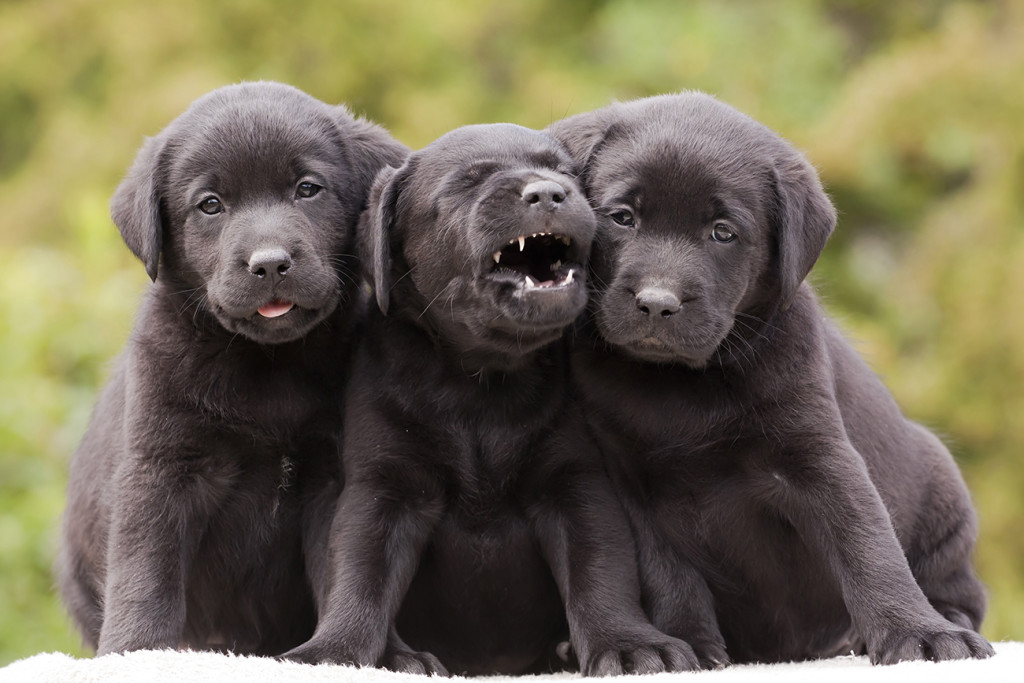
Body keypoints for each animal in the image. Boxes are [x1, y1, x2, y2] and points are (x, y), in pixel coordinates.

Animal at [56, 80, 407, 655]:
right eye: (210, 205)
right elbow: (145, 570)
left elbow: (347, 569)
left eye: (307, 189)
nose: (269, 263)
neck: (267, 364)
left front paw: (387, 653)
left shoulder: (334, 476)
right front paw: (132, 649)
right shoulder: (161, 467)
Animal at [280, 124, 696, 679]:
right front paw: (334, 651)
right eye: (467, 183)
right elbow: (359, 575)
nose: (548, 192)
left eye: (562, 172)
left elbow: (601, 572)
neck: (480, 383)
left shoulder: (575, 483)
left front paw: (629, 643)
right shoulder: (384, 487)